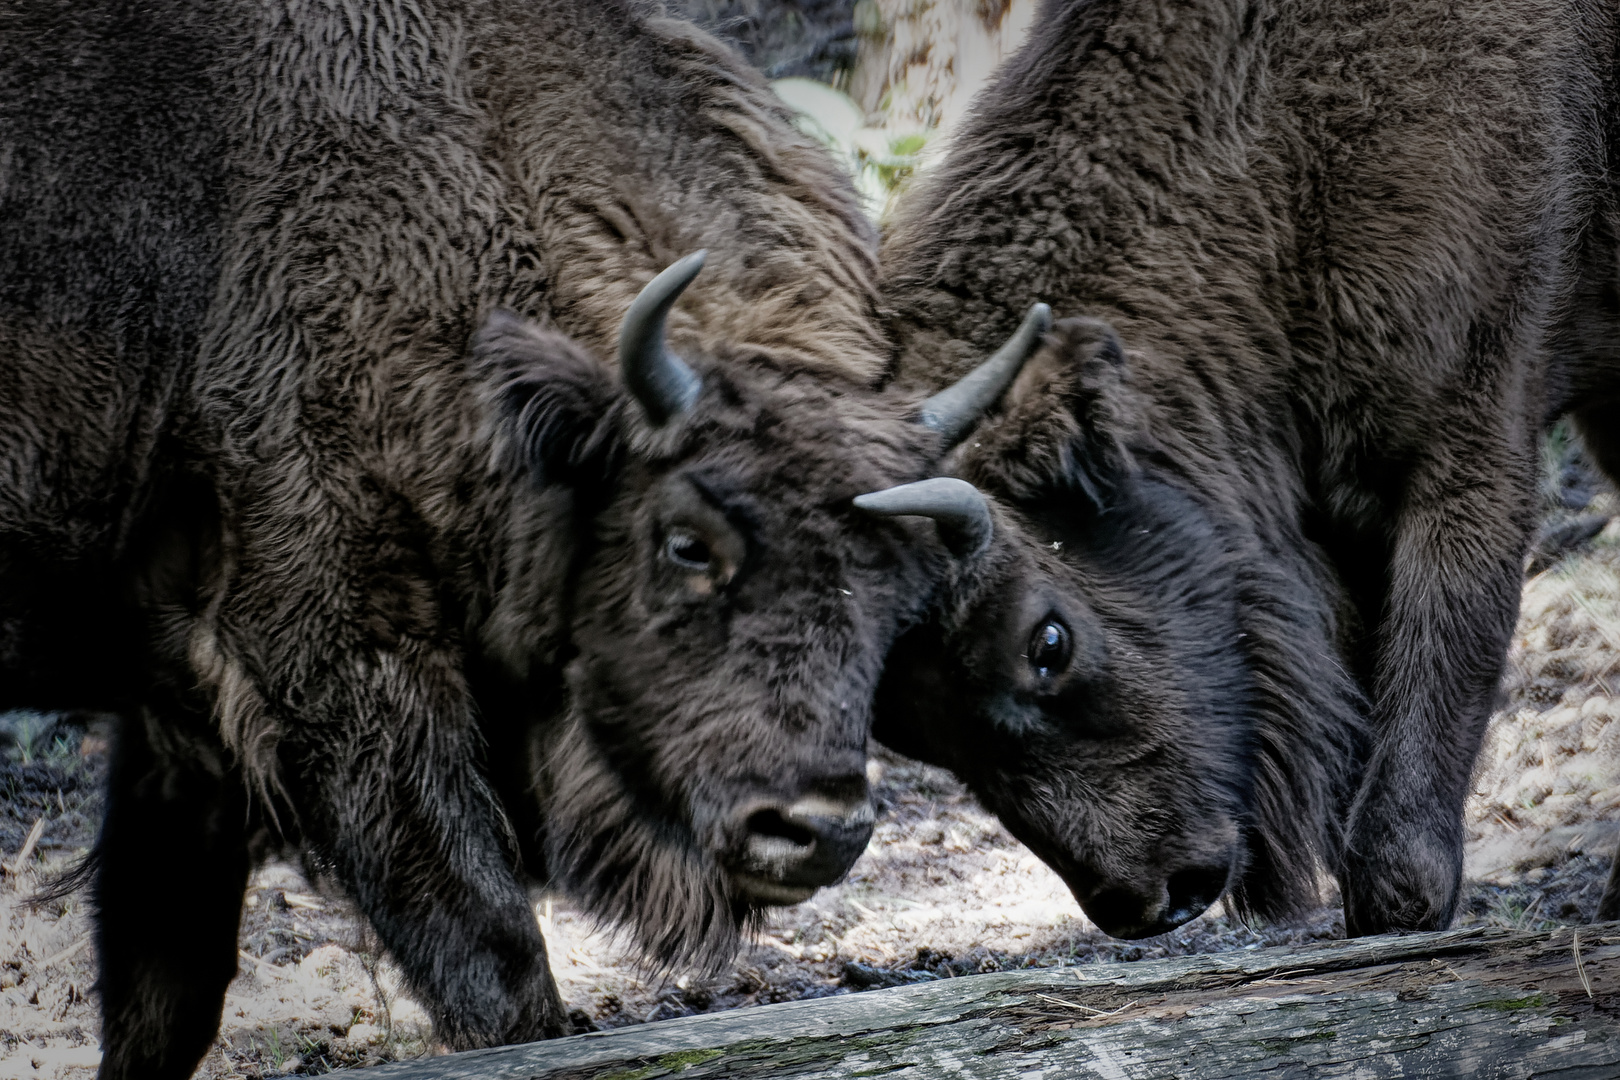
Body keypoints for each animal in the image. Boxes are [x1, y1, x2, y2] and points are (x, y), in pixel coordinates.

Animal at [0, 4, 1030, 1075]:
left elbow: (164, 986)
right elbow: (491, 952)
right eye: (687, 543)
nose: (817, 831)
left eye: (901, 589)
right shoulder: (336, 666)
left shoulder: (179, 728)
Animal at [874, 0, 1620, 939]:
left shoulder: (1471, 436)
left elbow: (1446, 650)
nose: (1147, 901)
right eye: (908, 731)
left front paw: (1401, 904)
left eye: (1047, 641)